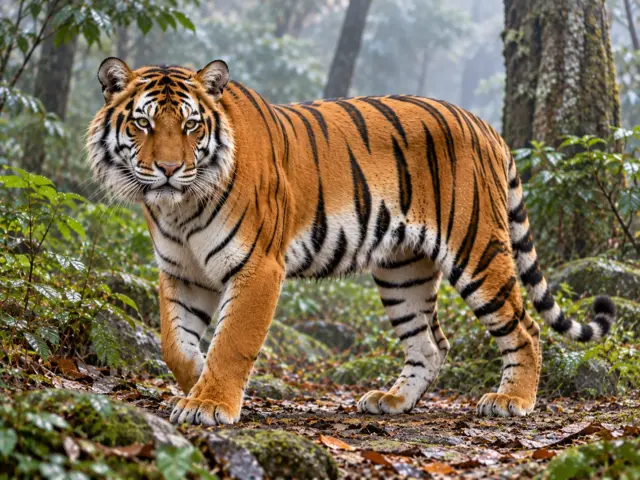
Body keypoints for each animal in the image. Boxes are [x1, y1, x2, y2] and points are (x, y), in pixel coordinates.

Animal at [88, 57, 615, 426]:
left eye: (191, 125)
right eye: (143, 123)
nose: (168, 169)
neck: (179, 207)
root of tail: (487, 127)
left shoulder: (258, 267)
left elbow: (233, 340)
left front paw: (211, 403)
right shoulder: (182, 271)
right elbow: (174, 343)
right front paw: (197, 382)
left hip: (477, 249)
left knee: (525, 328)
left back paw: (511, 401)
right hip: (402, 270)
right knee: (431, 343)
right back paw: (393, 400)